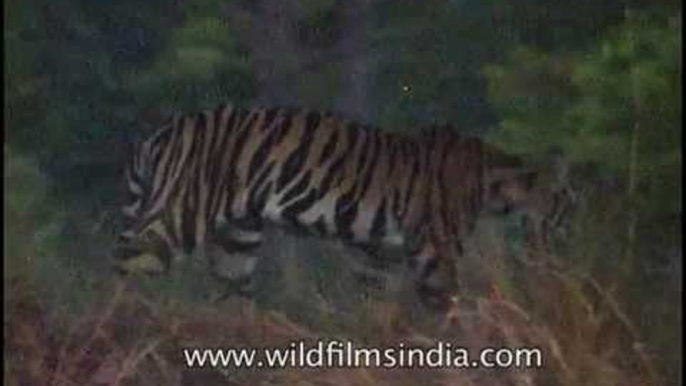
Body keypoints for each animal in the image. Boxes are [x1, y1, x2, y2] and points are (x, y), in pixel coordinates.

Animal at [115, 104, 548, 312]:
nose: (545, 235)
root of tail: (158, 134)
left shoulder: (377, 253)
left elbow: (375, 303)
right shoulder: (434, 249)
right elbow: (445, 301)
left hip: (236, 240)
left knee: (230, 295)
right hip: (179, 214)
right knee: (130, 264)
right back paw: (126, 323)